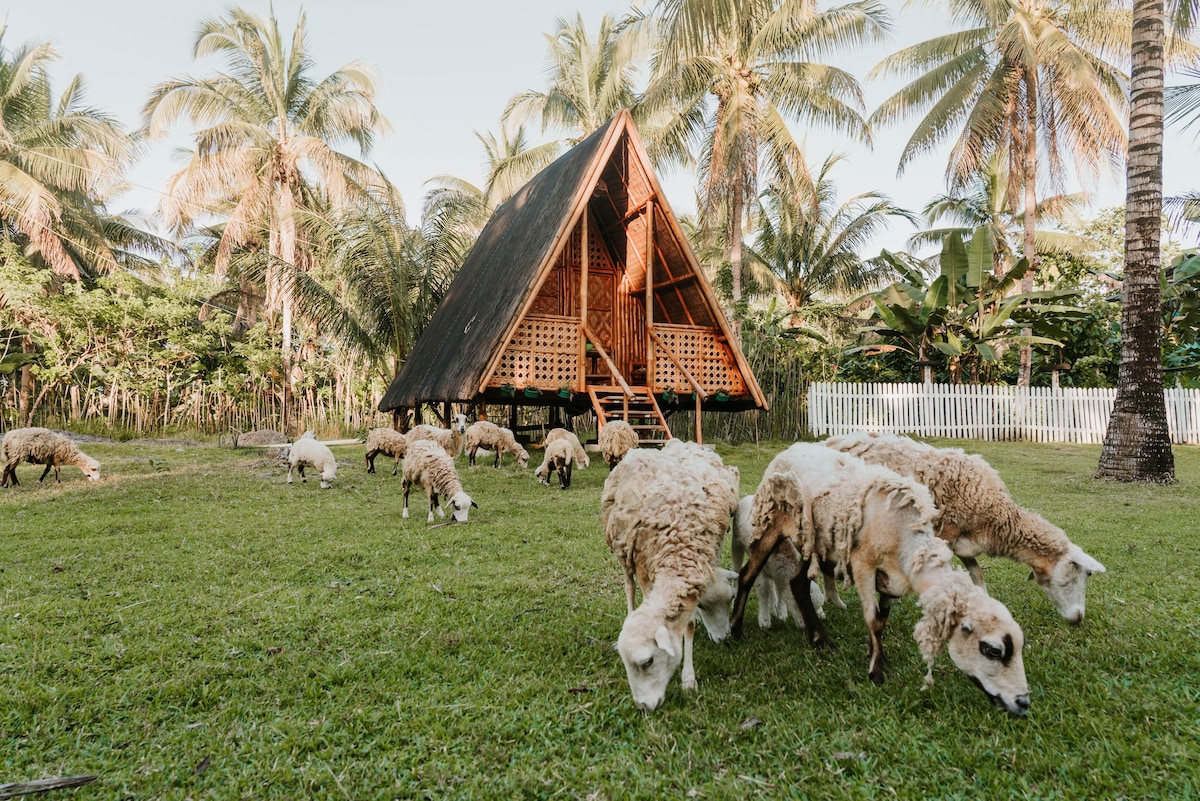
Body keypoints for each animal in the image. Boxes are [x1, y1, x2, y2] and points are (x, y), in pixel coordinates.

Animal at [600, 443, 739, 714]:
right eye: (647, 661)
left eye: (730, 600)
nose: (643, 706)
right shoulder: (646, 565)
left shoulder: (706, 555)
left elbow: (689, 625)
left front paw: (688, 678)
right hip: (623, 550)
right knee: (629, 587)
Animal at [729, 494, 835, 633]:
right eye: (801, 605)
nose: (805, 628)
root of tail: (749, 496)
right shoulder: (760, 569)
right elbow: (763, 589)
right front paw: (764, 620)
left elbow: (779, 590)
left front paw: (781, 612)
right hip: (736, 543)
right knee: (737, 568)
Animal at [825, 431, 1104, 623]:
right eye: (1070, 581)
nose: (1078, 619)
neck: (997, 516)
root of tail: (829, 442)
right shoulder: (945, 534)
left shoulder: (965, 544)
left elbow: (978, 576)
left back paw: (834, 601)